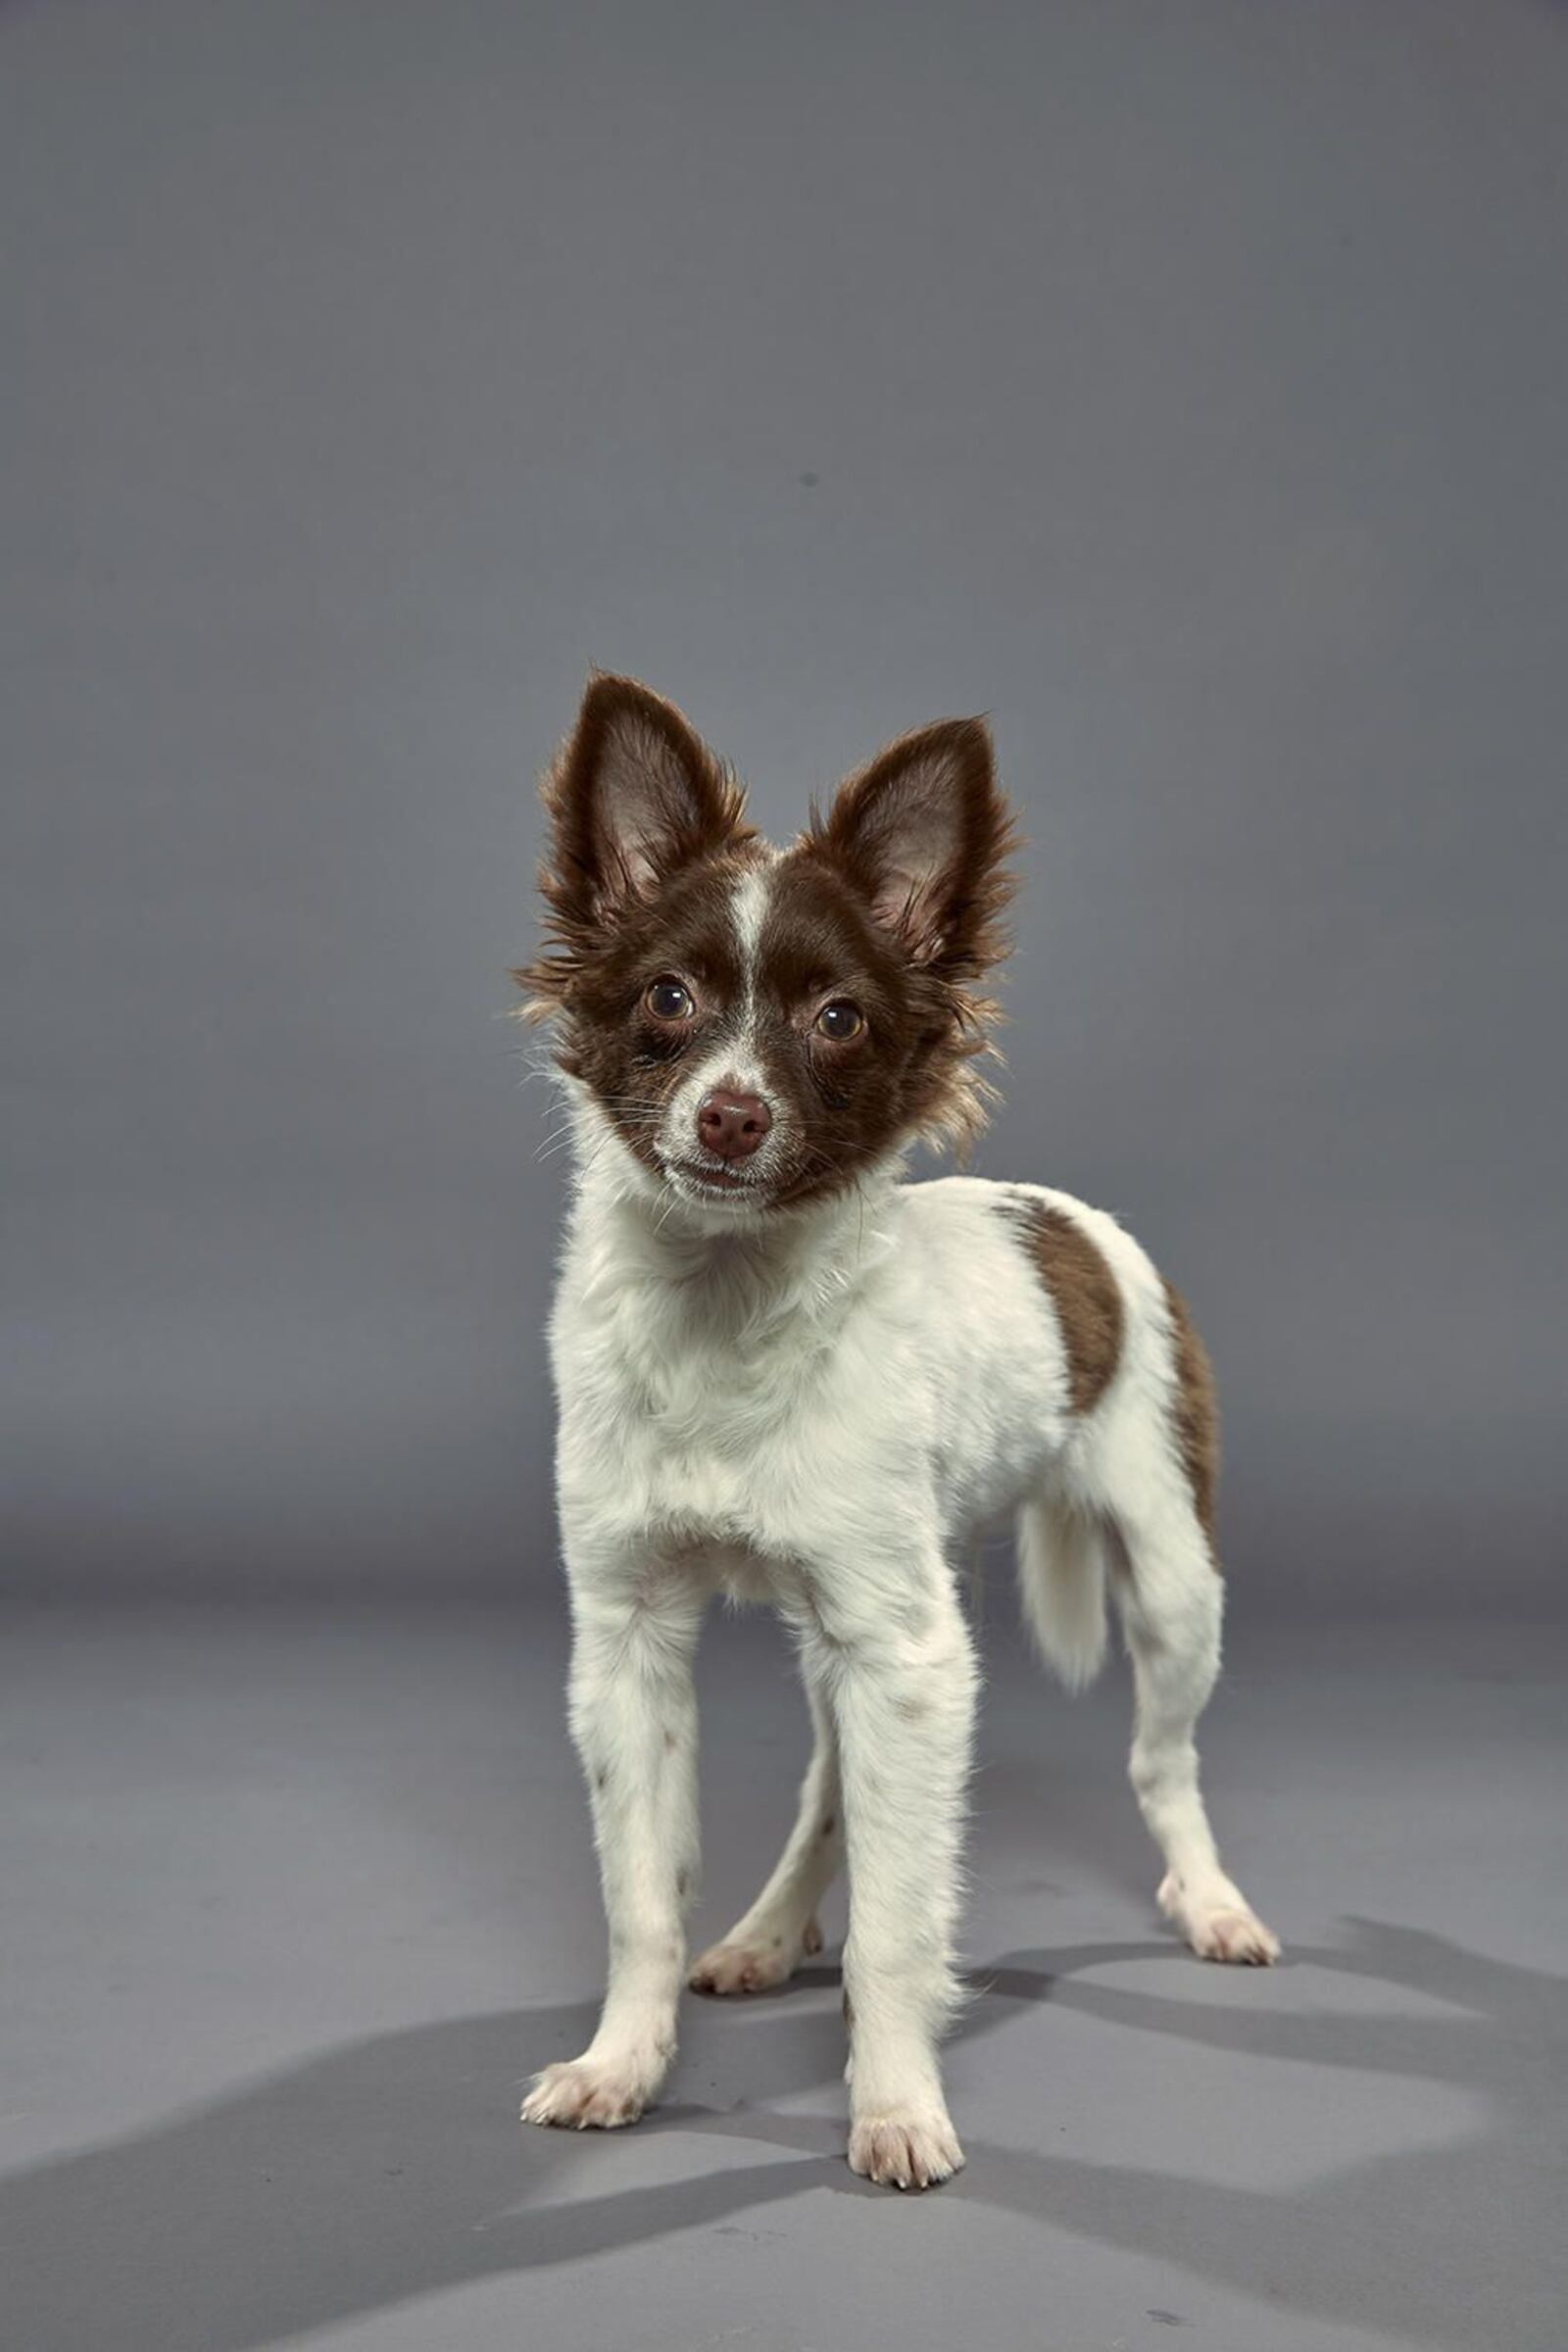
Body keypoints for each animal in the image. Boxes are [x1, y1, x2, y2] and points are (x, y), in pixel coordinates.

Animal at [514, 677, 1278, 2182]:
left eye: (839, 1021)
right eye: (667, 999)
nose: (731, 1115)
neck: (726, 1313)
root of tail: (1068, 1217)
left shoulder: (912, 1660)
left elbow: (901, 1922)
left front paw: (895, 2105)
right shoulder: (631, 1642)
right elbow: (643, 1896)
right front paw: (623, 2065)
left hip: (1171, 1583)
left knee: (1161, 1761)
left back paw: (1211, 1905)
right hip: (858, 1630)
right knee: (829, 1784)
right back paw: (762, 1936)